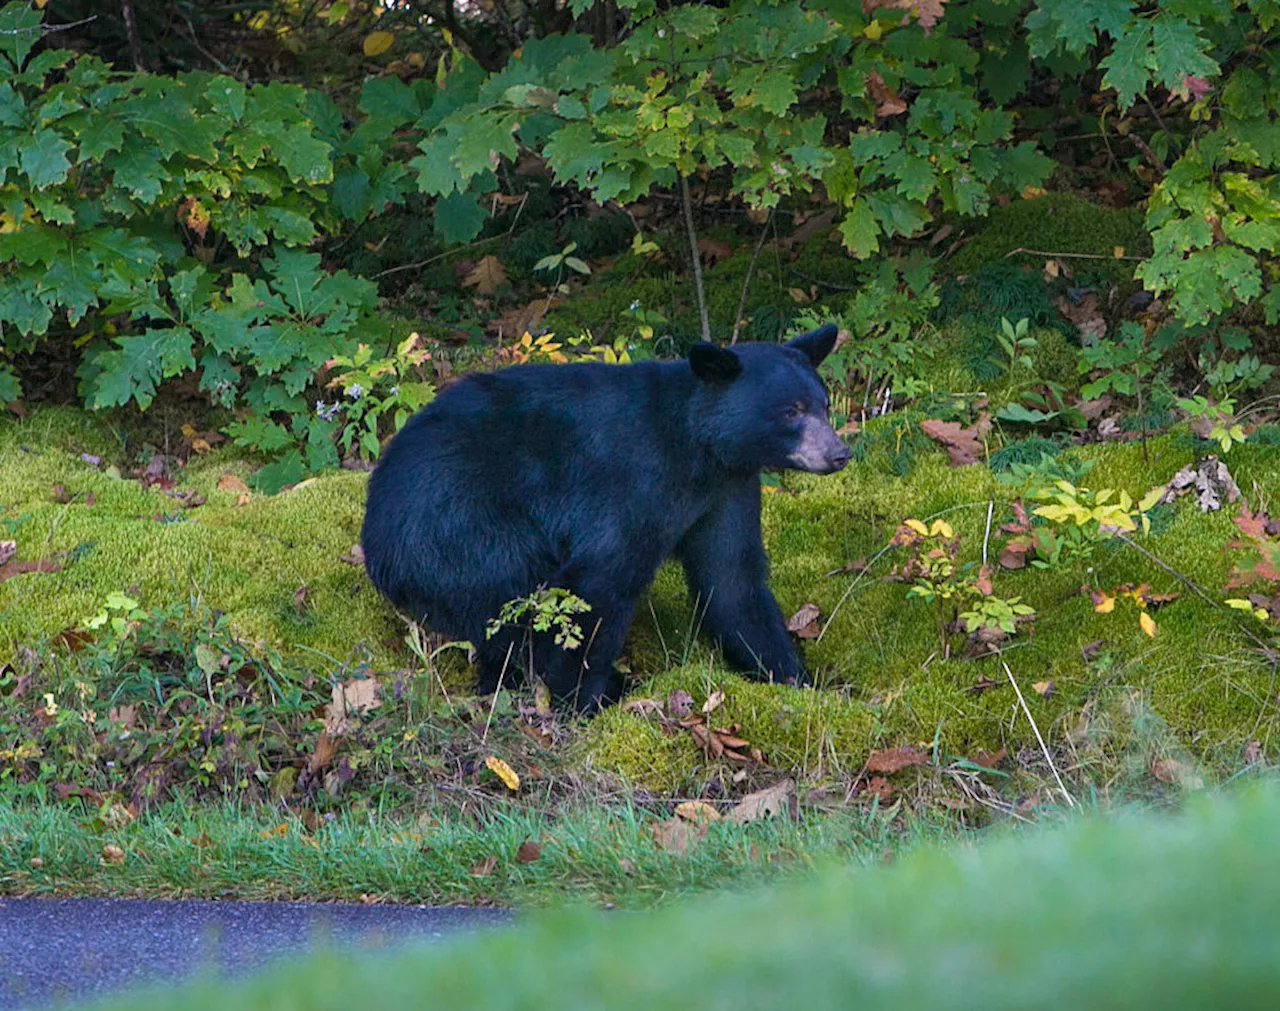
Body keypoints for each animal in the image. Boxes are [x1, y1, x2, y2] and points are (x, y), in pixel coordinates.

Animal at [363, 325, 849, 711]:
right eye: (790, 411)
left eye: (823, 404)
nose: (839, 452)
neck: (697, 448)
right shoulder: (633, 484)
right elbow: (602, 581)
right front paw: (580, 697)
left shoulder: (728, 490)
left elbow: (732, 577)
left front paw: (792, 677)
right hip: (461, 533)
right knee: (509, 600)